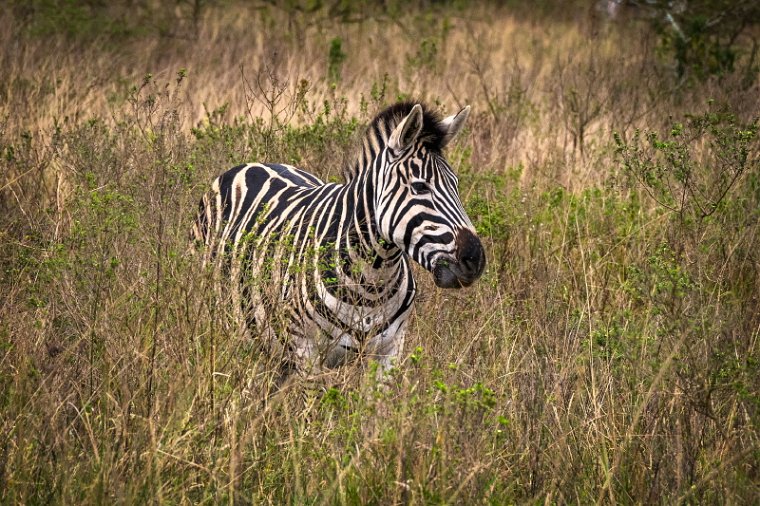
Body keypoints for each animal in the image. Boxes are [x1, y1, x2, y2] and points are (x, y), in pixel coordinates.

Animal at [193, 102, 484, 380]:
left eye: (456, 185)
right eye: (420, 187)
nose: (475, 259)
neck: (374, 279)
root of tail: (252, 164)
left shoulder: (390, 352)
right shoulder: (308, 353)